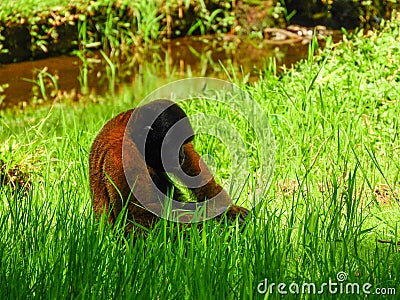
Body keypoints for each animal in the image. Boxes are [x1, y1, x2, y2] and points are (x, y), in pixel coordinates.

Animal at [89, 99, 248, 233]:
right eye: (174, 147)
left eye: (183, 145)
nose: (181, 156)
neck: (134, 134)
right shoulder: (125, 158)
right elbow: (138, 218)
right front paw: (216, 224)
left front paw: (228, 211)